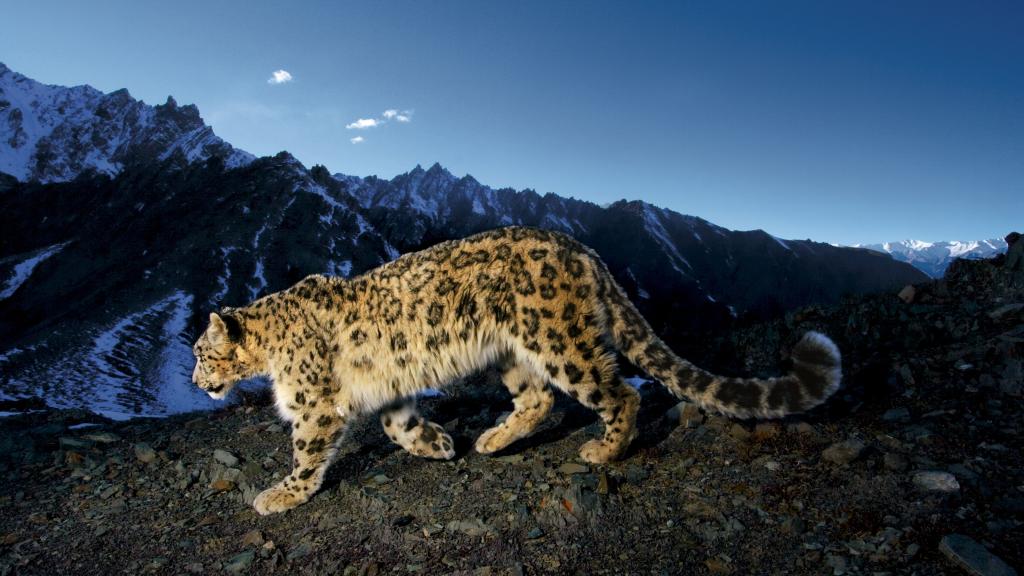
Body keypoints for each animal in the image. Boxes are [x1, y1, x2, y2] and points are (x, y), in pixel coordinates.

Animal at [191, 226, 841, 515]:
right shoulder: (390, 389)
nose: (196, 382)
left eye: (199, 352)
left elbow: (307, 451)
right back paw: (490, 440)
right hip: (512, 353)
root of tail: (583, 249)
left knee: (618, 392)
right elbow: (397, 425)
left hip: (559, 340)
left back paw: (602, 451)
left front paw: (281, 494)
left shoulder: (313, 404)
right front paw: (437, 444)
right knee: (539, 400)